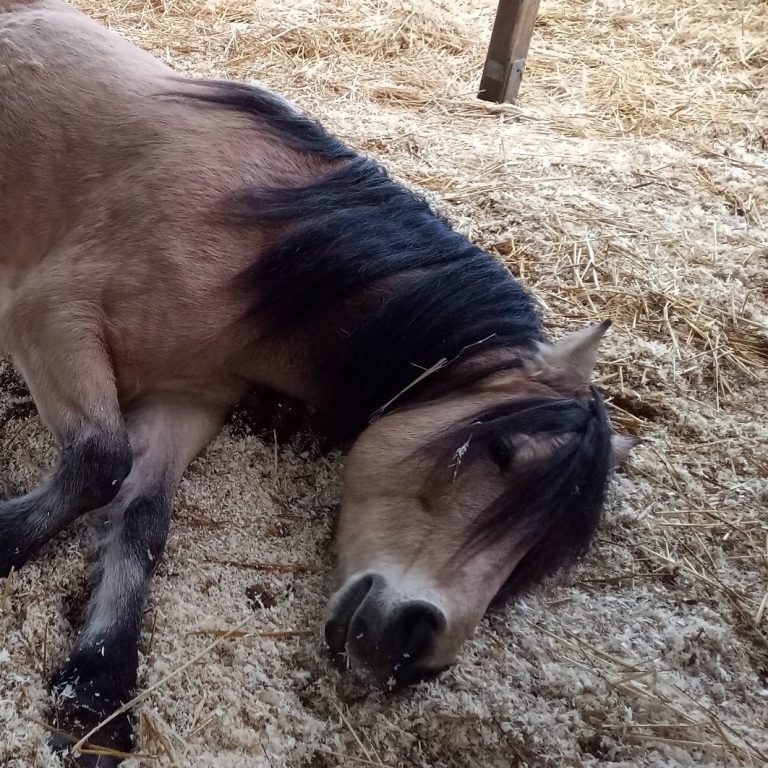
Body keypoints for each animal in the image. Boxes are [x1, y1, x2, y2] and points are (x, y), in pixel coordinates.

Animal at [0, 0, 636, 760]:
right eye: (500, 451)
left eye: (540, 557)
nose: (413, 648)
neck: (254, 253)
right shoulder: (48, 318)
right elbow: (99, 459)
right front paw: (1, 539)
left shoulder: (189, 398)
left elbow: (142, 517)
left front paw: (97, 689)